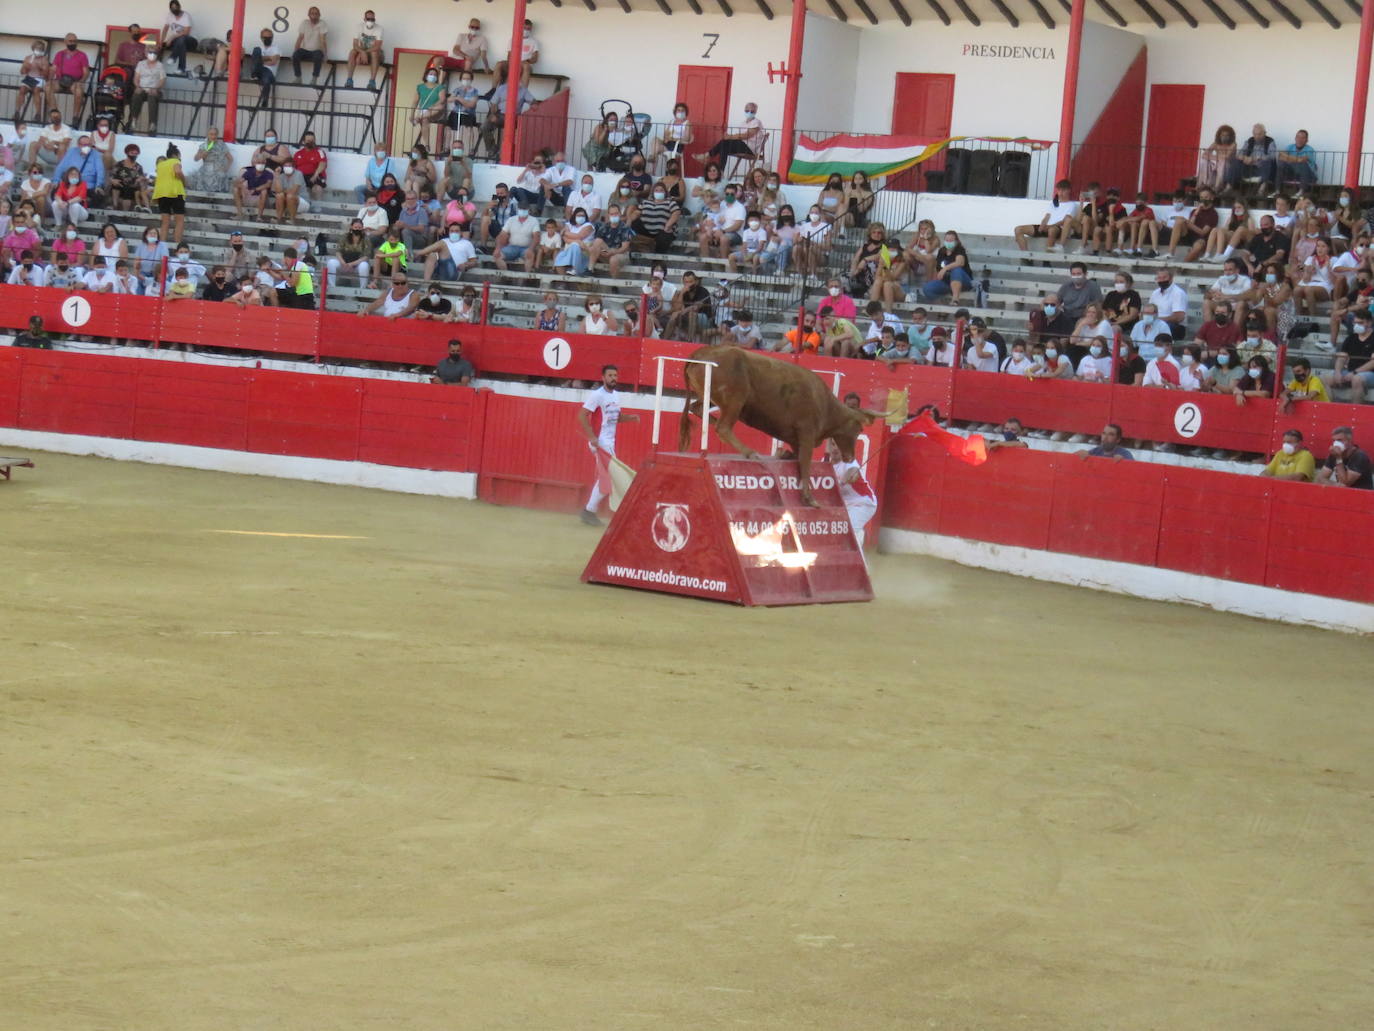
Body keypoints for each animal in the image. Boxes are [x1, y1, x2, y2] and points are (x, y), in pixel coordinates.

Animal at [673, 347, 879, 508]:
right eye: (859, 429)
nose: (850, 457)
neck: (827, 404)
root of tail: (702, 352)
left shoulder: (797, 438)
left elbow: (796, 455)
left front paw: (782, 453)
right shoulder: (807, 432)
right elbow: (805, 464)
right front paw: (809, 498)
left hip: (712, 397)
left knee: (697, 408)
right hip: (735, 400)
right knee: (723, 427)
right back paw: (750, 452)